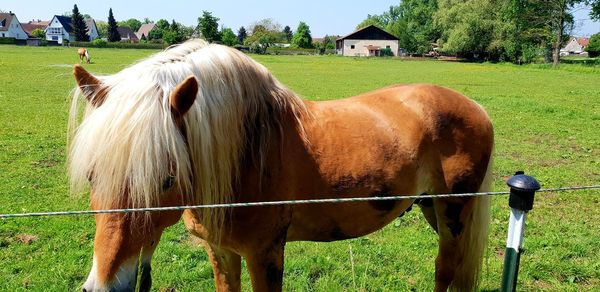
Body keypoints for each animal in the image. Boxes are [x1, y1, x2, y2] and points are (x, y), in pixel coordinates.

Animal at [69, 39, 492, 292]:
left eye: (166, 179)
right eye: (92, 175)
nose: (103, 286)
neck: (246, 155)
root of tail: (476, 107)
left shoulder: (265, 254)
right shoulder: (221, 252)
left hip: (454, 211)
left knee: (446, 266)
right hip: (432, 208)